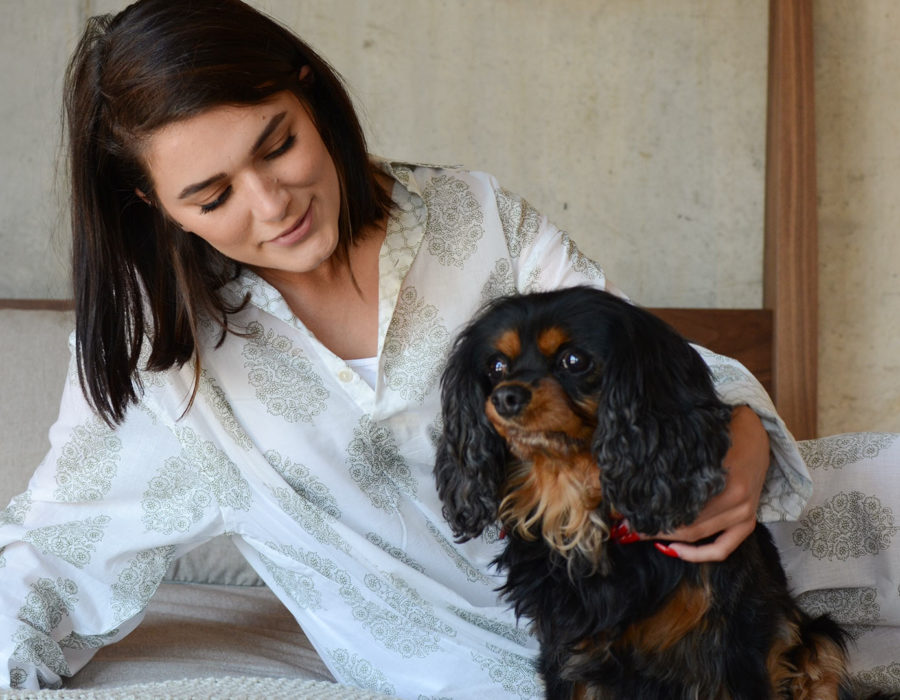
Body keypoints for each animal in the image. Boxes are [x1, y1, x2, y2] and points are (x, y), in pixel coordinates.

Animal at [434, 286, 884, 700]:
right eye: (496, 366)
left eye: (574, 361)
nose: (505, 396)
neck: (583, 507)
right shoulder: (566, 647)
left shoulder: (737, 641)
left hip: (818, 644)